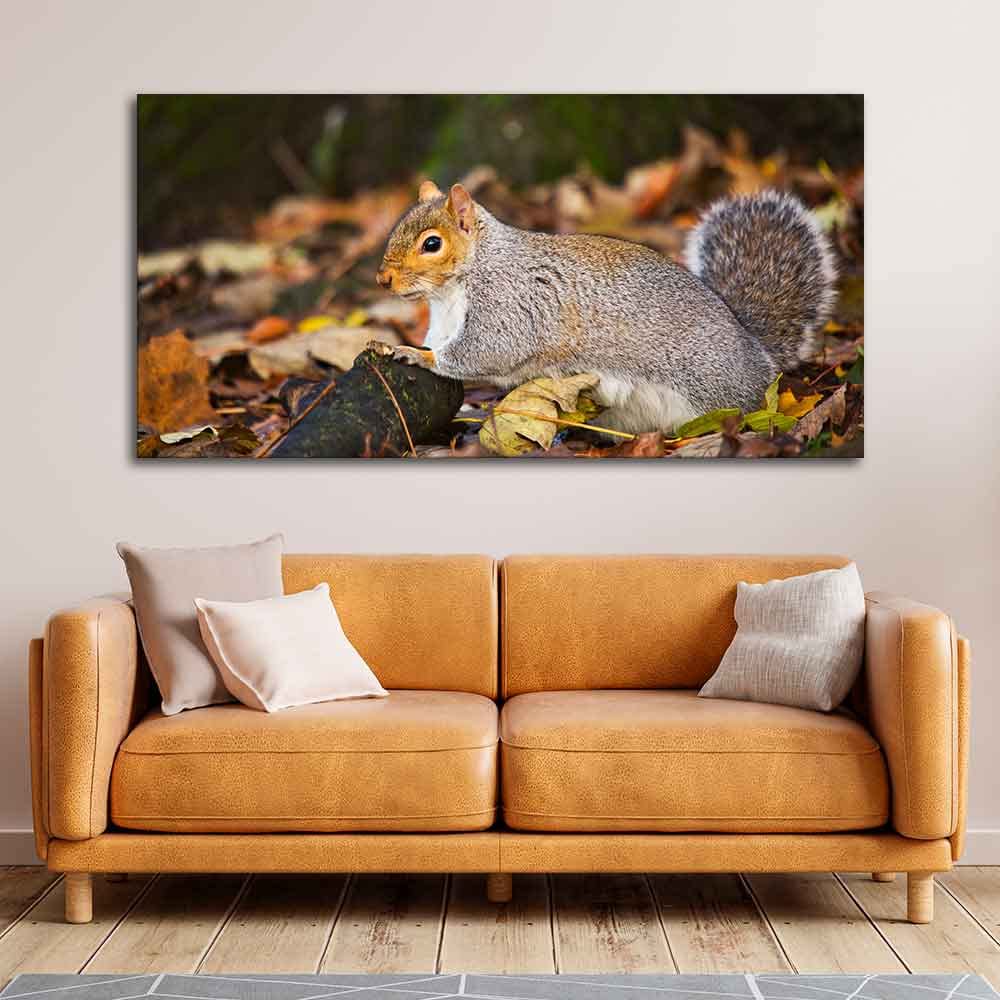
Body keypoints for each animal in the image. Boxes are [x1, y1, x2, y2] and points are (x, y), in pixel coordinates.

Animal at [376, 179, 836, 434]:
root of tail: (756, 351)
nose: (383, 279)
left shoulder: (511, 302)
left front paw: (413, 353)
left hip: (717, 390)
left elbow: (487, 350)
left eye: (431, 244)